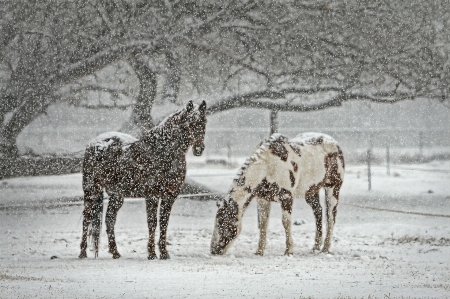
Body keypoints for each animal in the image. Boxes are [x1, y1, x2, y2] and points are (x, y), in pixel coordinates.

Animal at [79, 101, 207, 260]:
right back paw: (82, 252)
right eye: (189, 123)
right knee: (87, 218)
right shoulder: (152, 195)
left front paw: (164, 253)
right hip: (91, 190)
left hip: (116, 195)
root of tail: (94, 143)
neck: (163, 151)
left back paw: (115, 252)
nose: (199, 149)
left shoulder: (170, 196)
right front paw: (151, 253)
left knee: (109, 219)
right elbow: (152, 223)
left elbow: (164, 223)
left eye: (204, 121)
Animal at [211, 134, 344, 258]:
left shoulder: (286, 198)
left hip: (333, 188)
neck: (268, 166)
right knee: (318, 212)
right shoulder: (263, 199)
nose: (213, 250)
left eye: (223, 222)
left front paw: (289, 251)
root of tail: (335, 144)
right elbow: (263, 224)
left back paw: (325, 248)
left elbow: (286, 222)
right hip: (311, 192)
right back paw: (316, 247)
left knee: (331, 217)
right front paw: (259, 252)